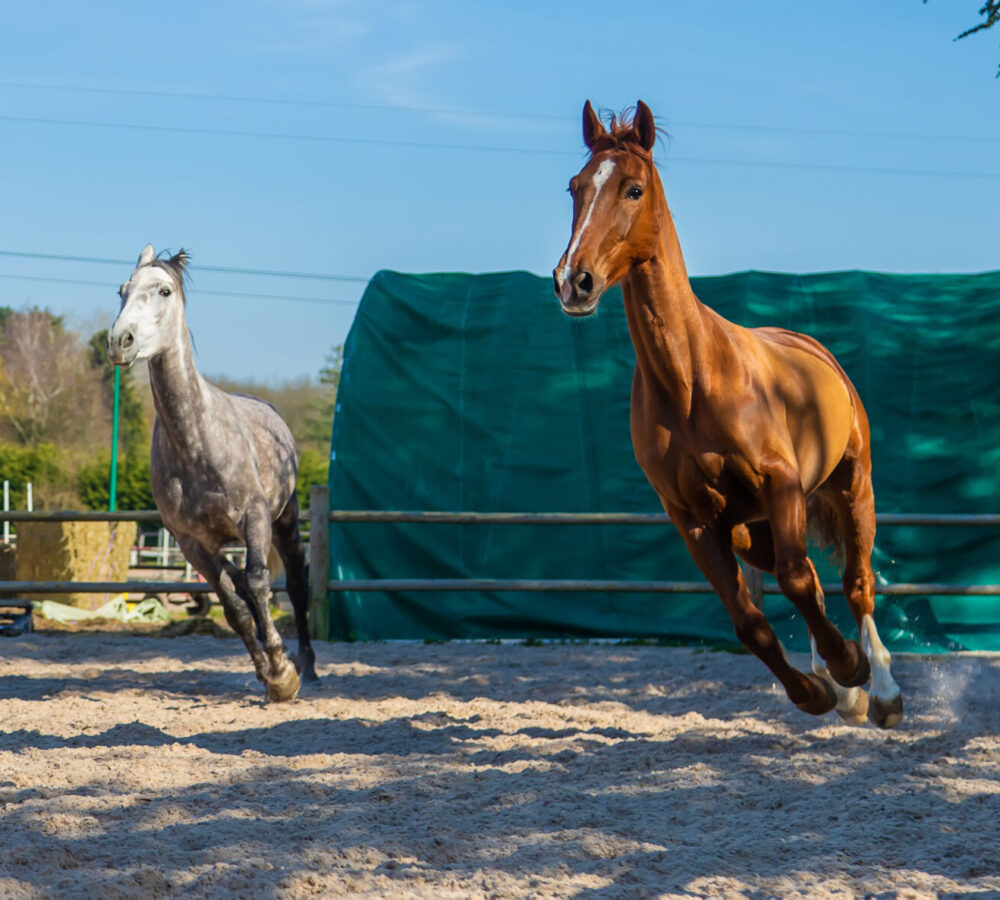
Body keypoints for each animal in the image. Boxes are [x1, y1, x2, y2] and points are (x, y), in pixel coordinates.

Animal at [107, 244, 317, 702]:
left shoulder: (255, 519)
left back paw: (308, 666)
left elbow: (258, 583)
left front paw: (284, 673)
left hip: (286, 520)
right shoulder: (192, 544)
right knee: (240, 586)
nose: (119, 341)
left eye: (164, 290)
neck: (196, 443)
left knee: (295, 583)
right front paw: (270, 674)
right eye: (122, 290)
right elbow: (235, 607)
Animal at [553, 102, 903, 728]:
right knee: (814, 583)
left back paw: (880, 690)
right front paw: (816, 691)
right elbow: (750, 621)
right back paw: (841, 687)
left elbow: (797, 581)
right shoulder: (692, 518)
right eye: (574, 187)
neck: (693, 381)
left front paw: (848, 668)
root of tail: (817, 350)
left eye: (633, 188)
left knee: (855, 583)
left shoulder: (782, 484)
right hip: (750, 529)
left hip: (850, 489)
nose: (574, 280)